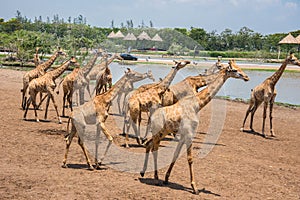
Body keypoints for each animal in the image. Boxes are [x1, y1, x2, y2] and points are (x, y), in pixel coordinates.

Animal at [141, 60, 248, 195]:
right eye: (234, 70)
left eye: (239, 67)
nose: (246, 77)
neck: (197, 104)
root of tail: (153, 116)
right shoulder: (189, 133)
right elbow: (190, 158)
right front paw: (194, 187)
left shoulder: (183, 135)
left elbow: (176, 155)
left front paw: (166, 178)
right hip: (158, 132)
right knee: (154, 148)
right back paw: (155, 179)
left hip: (162, 132)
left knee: (148, 144)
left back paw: (143, 172)